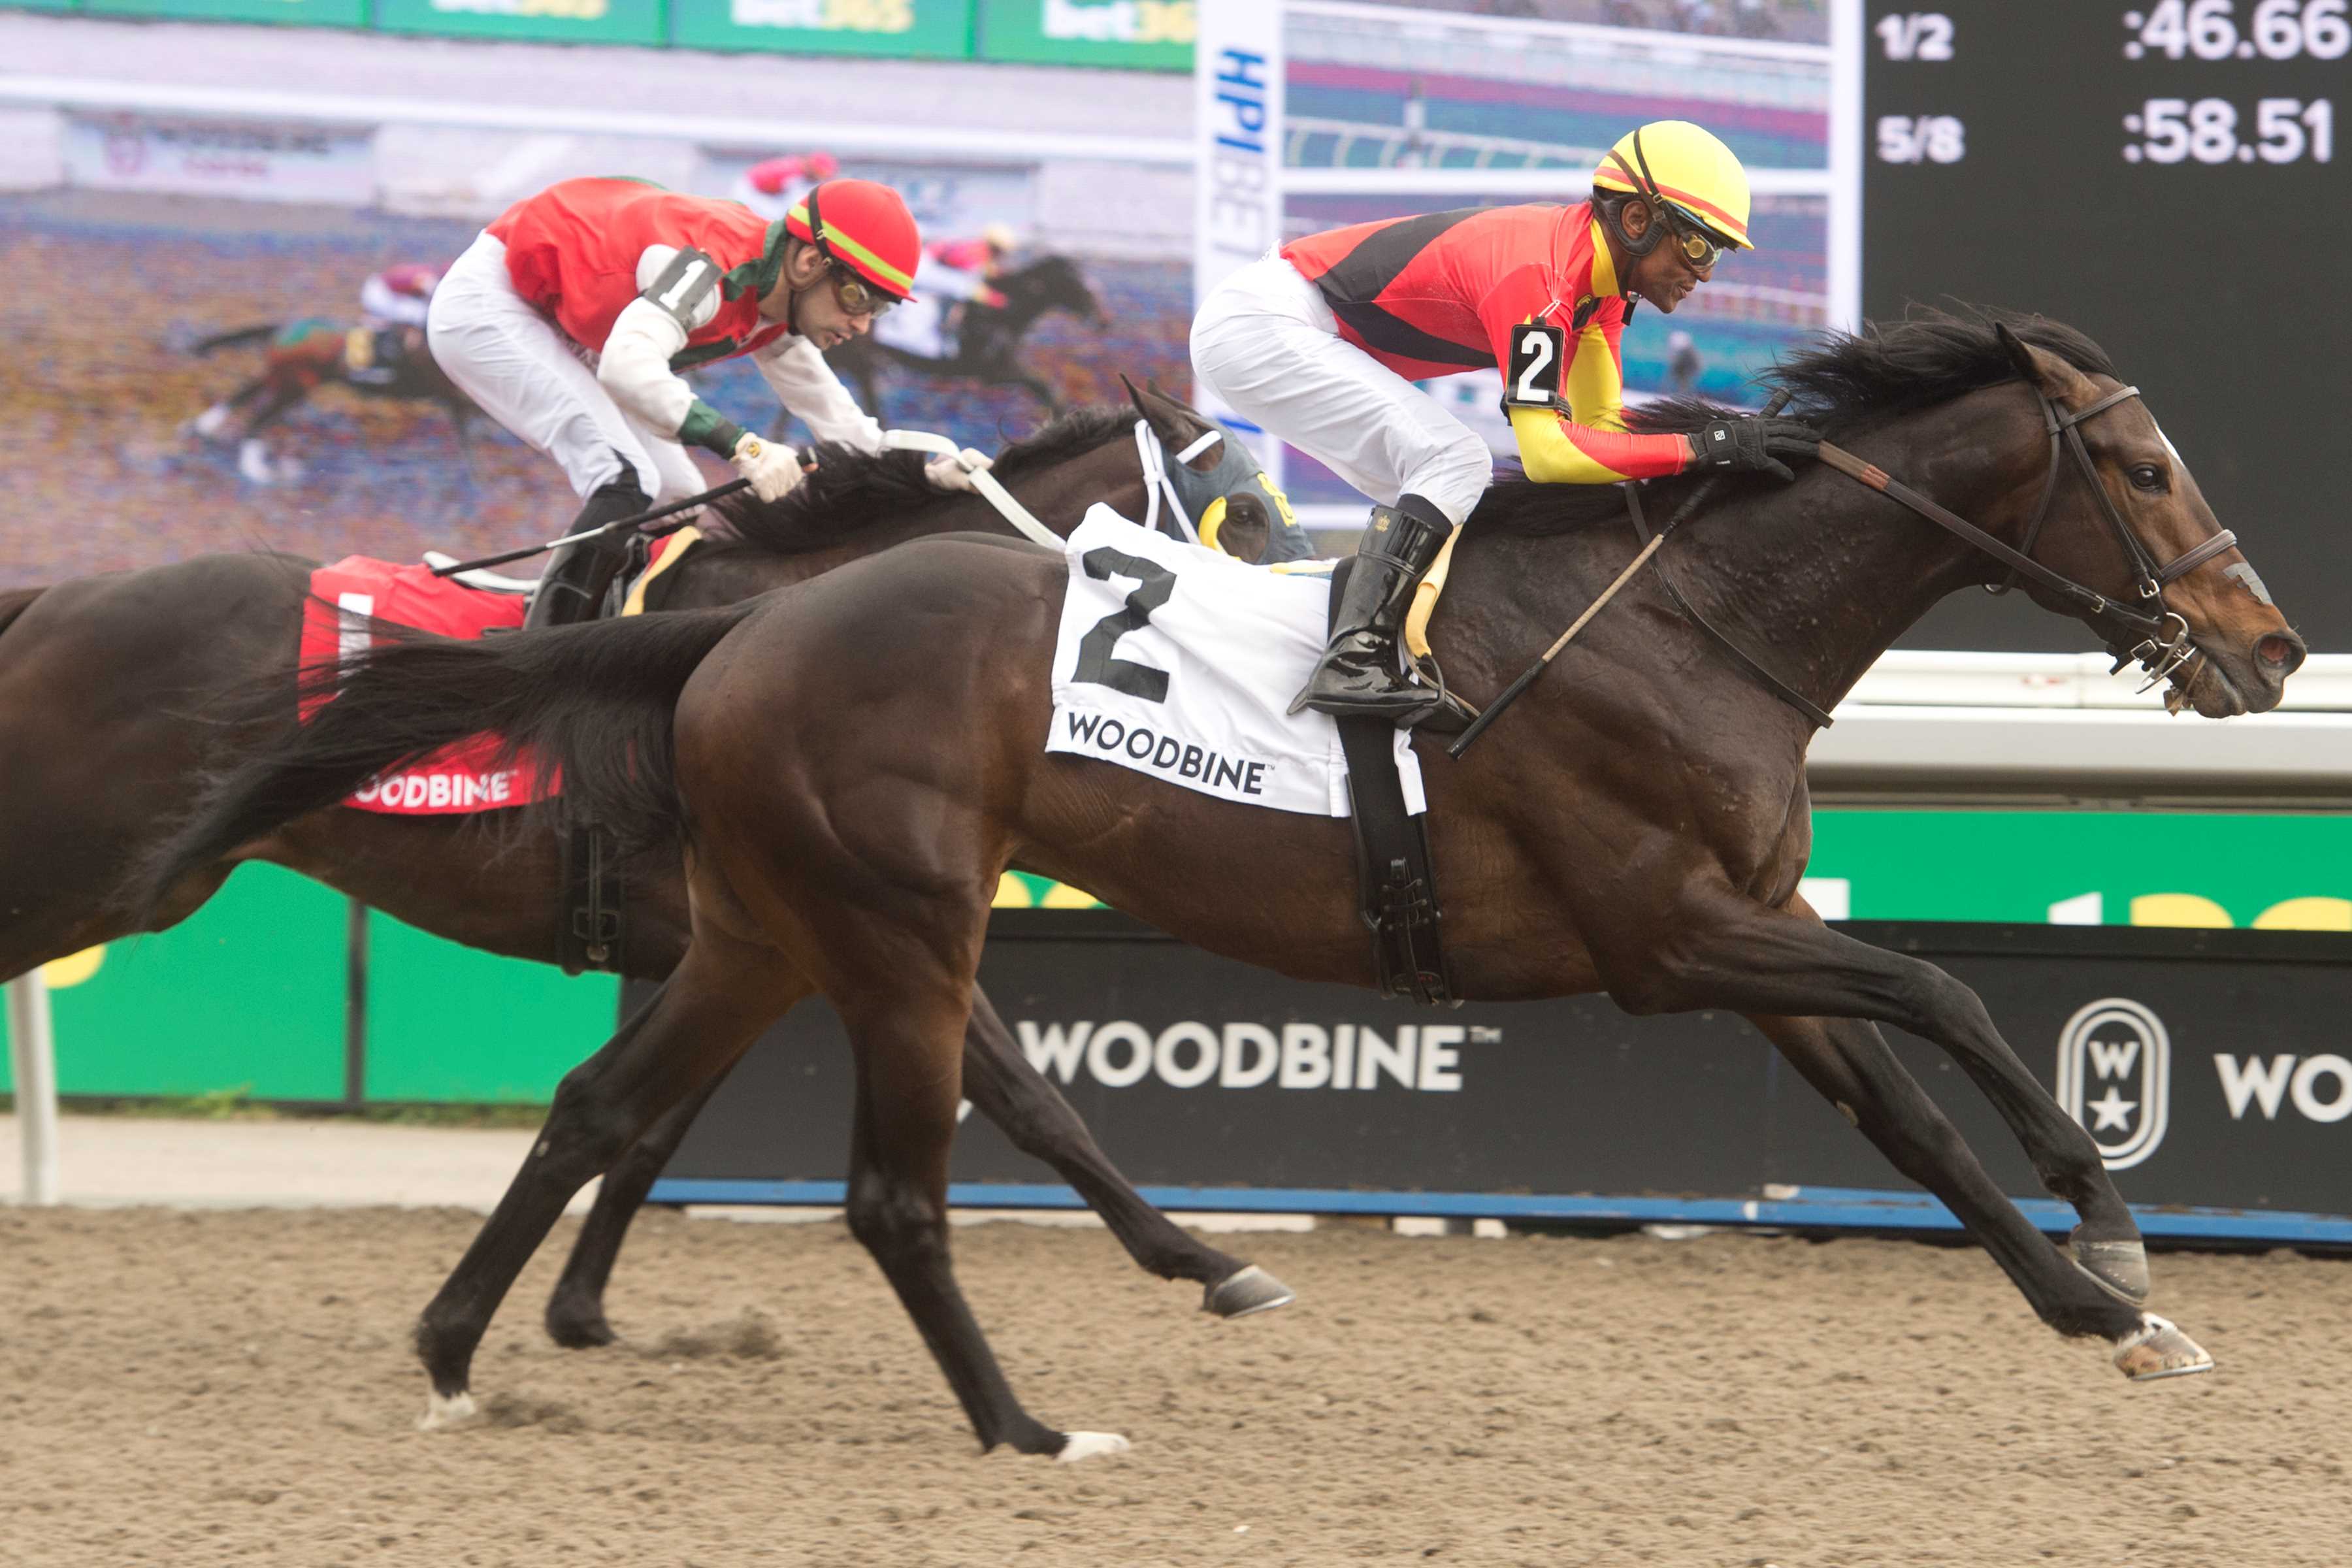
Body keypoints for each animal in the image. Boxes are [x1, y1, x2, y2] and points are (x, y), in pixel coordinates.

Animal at [0, 383, 1298, 1354]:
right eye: (1242, 513)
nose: (1310, 662)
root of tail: (54, 599)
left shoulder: (758, 945)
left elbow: (652, 1130)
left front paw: (577, 1308)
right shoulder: (861, 927)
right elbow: (1034, 1100)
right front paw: (1206, 1259)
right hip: (82, 870)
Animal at [137, 312, 2305, 1467]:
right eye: (2146, 469)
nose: (2270, 650)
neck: (1687, 618)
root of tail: (737, 630)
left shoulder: (1743, 936)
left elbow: (1914, 1111)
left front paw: (2099, 1310)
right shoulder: (1666, 933)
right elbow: (1950, 998)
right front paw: (2119, 1228)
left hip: (764, 923)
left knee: (609, 1102)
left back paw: (457, 1351)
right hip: (892, 921)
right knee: (877, 1175)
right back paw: (1019, 1419)